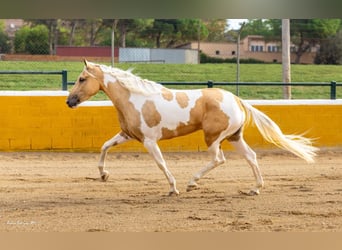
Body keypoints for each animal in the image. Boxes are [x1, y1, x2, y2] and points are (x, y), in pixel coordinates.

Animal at [66, 59, 318, 196]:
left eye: (81, 79)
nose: (69, 101)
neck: (136, 98)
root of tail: (237, 99)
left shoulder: (149, 141)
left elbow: (161, 163)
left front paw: (173, 188)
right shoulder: (127, 134)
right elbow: (104, 146)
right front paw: (104, 174)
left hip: (214, 138)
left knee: (219, 160)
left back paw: (191, 183)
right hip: (234, 137)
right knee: (252, 157)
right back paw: (255, 188)